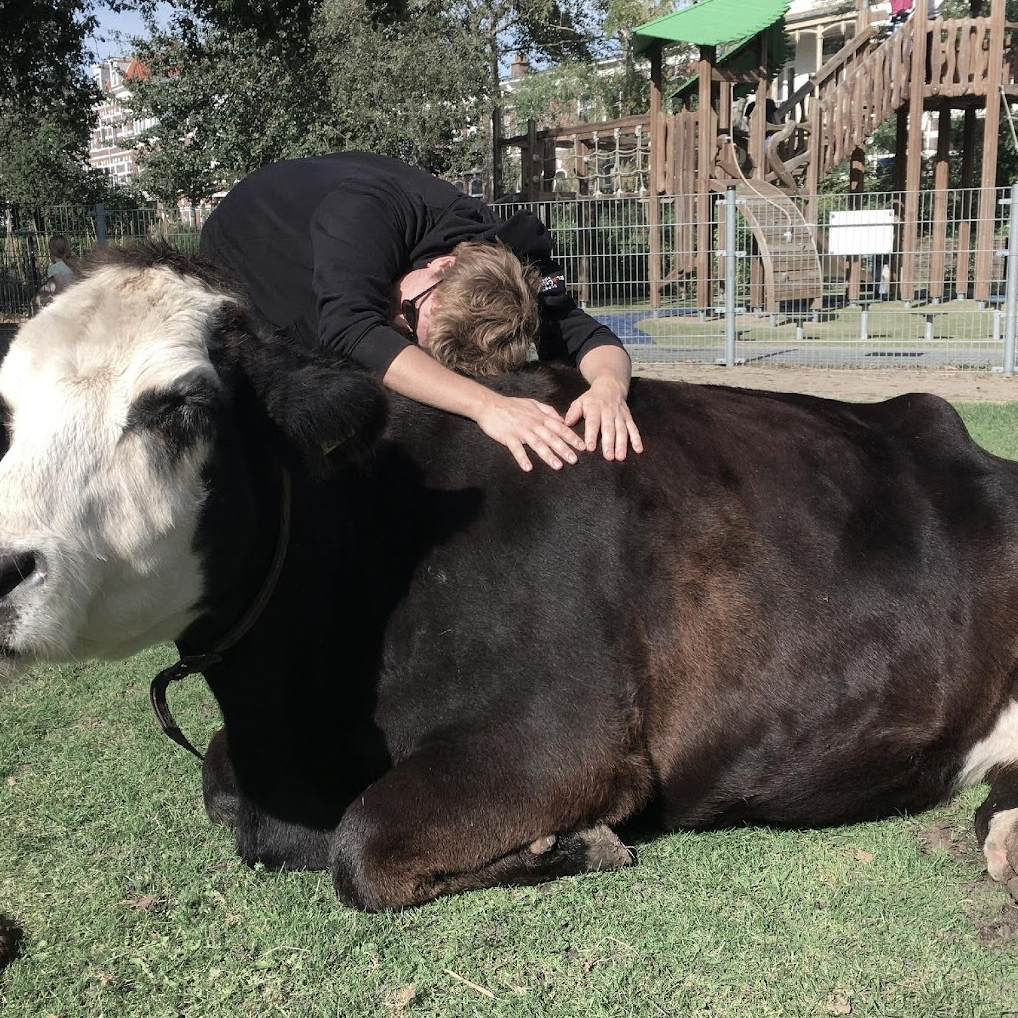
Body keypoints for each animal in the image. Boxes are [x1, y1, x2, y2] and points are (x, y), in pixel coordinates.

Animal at [0, 242, 1013, 912]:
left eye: (180, 408)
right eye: (9, 400)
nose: (5, 565)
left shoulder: (562, 738)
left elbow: (361, 848)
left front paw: (578, 843)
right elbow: (218, 782)